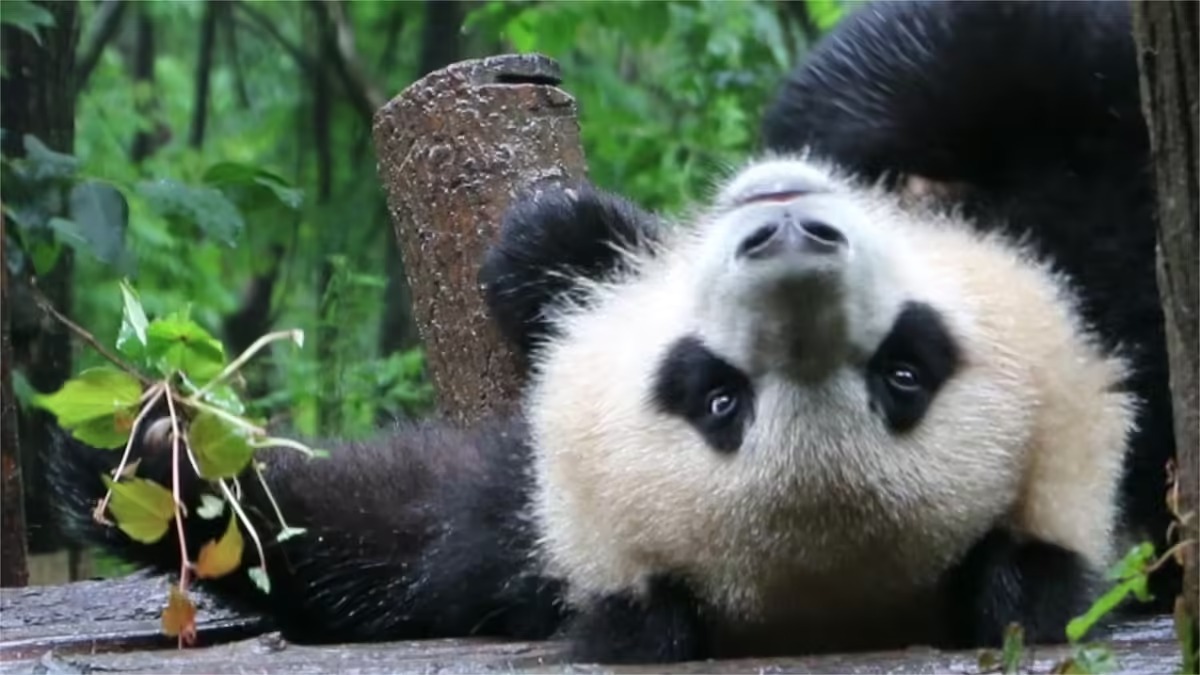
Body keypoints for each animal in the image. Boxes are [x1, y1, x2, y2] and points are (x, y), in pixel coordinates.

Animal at [48, 0, 1170, 666]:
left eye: (904, 373)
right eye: (716, 394)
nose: (788, 232)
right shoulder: (528, 535)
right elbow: (390, 526)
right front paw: (154, 452)